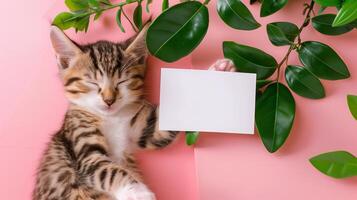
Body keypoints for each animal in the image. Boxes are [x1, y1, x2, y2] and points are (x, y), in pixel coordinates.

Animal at [33, 23, 178, 200]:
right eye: (92, 83)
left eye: (122, 82)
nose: (109, 100)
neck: (110, 118)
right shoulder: (85, 153)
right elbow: (109, 171)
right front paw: (139, 192)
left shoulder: (139, 131)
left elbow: (158, 129)